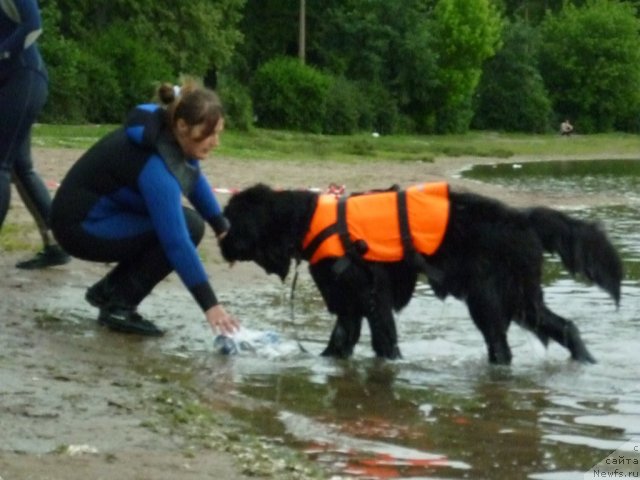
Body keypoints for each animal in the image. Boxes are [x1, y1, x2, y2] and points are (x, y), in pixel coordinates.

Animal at [219, 181, 620, 364]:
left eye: (230, 221)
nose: (219, 242)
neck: (307, 221)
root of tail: (524, 218)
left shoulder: (372, 300)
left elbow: (384, 343)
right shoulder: (349, 307)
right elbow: (339, 344)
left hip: (489, 300)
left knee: (502, 346)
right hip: (519, 298)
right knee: (563, 326)